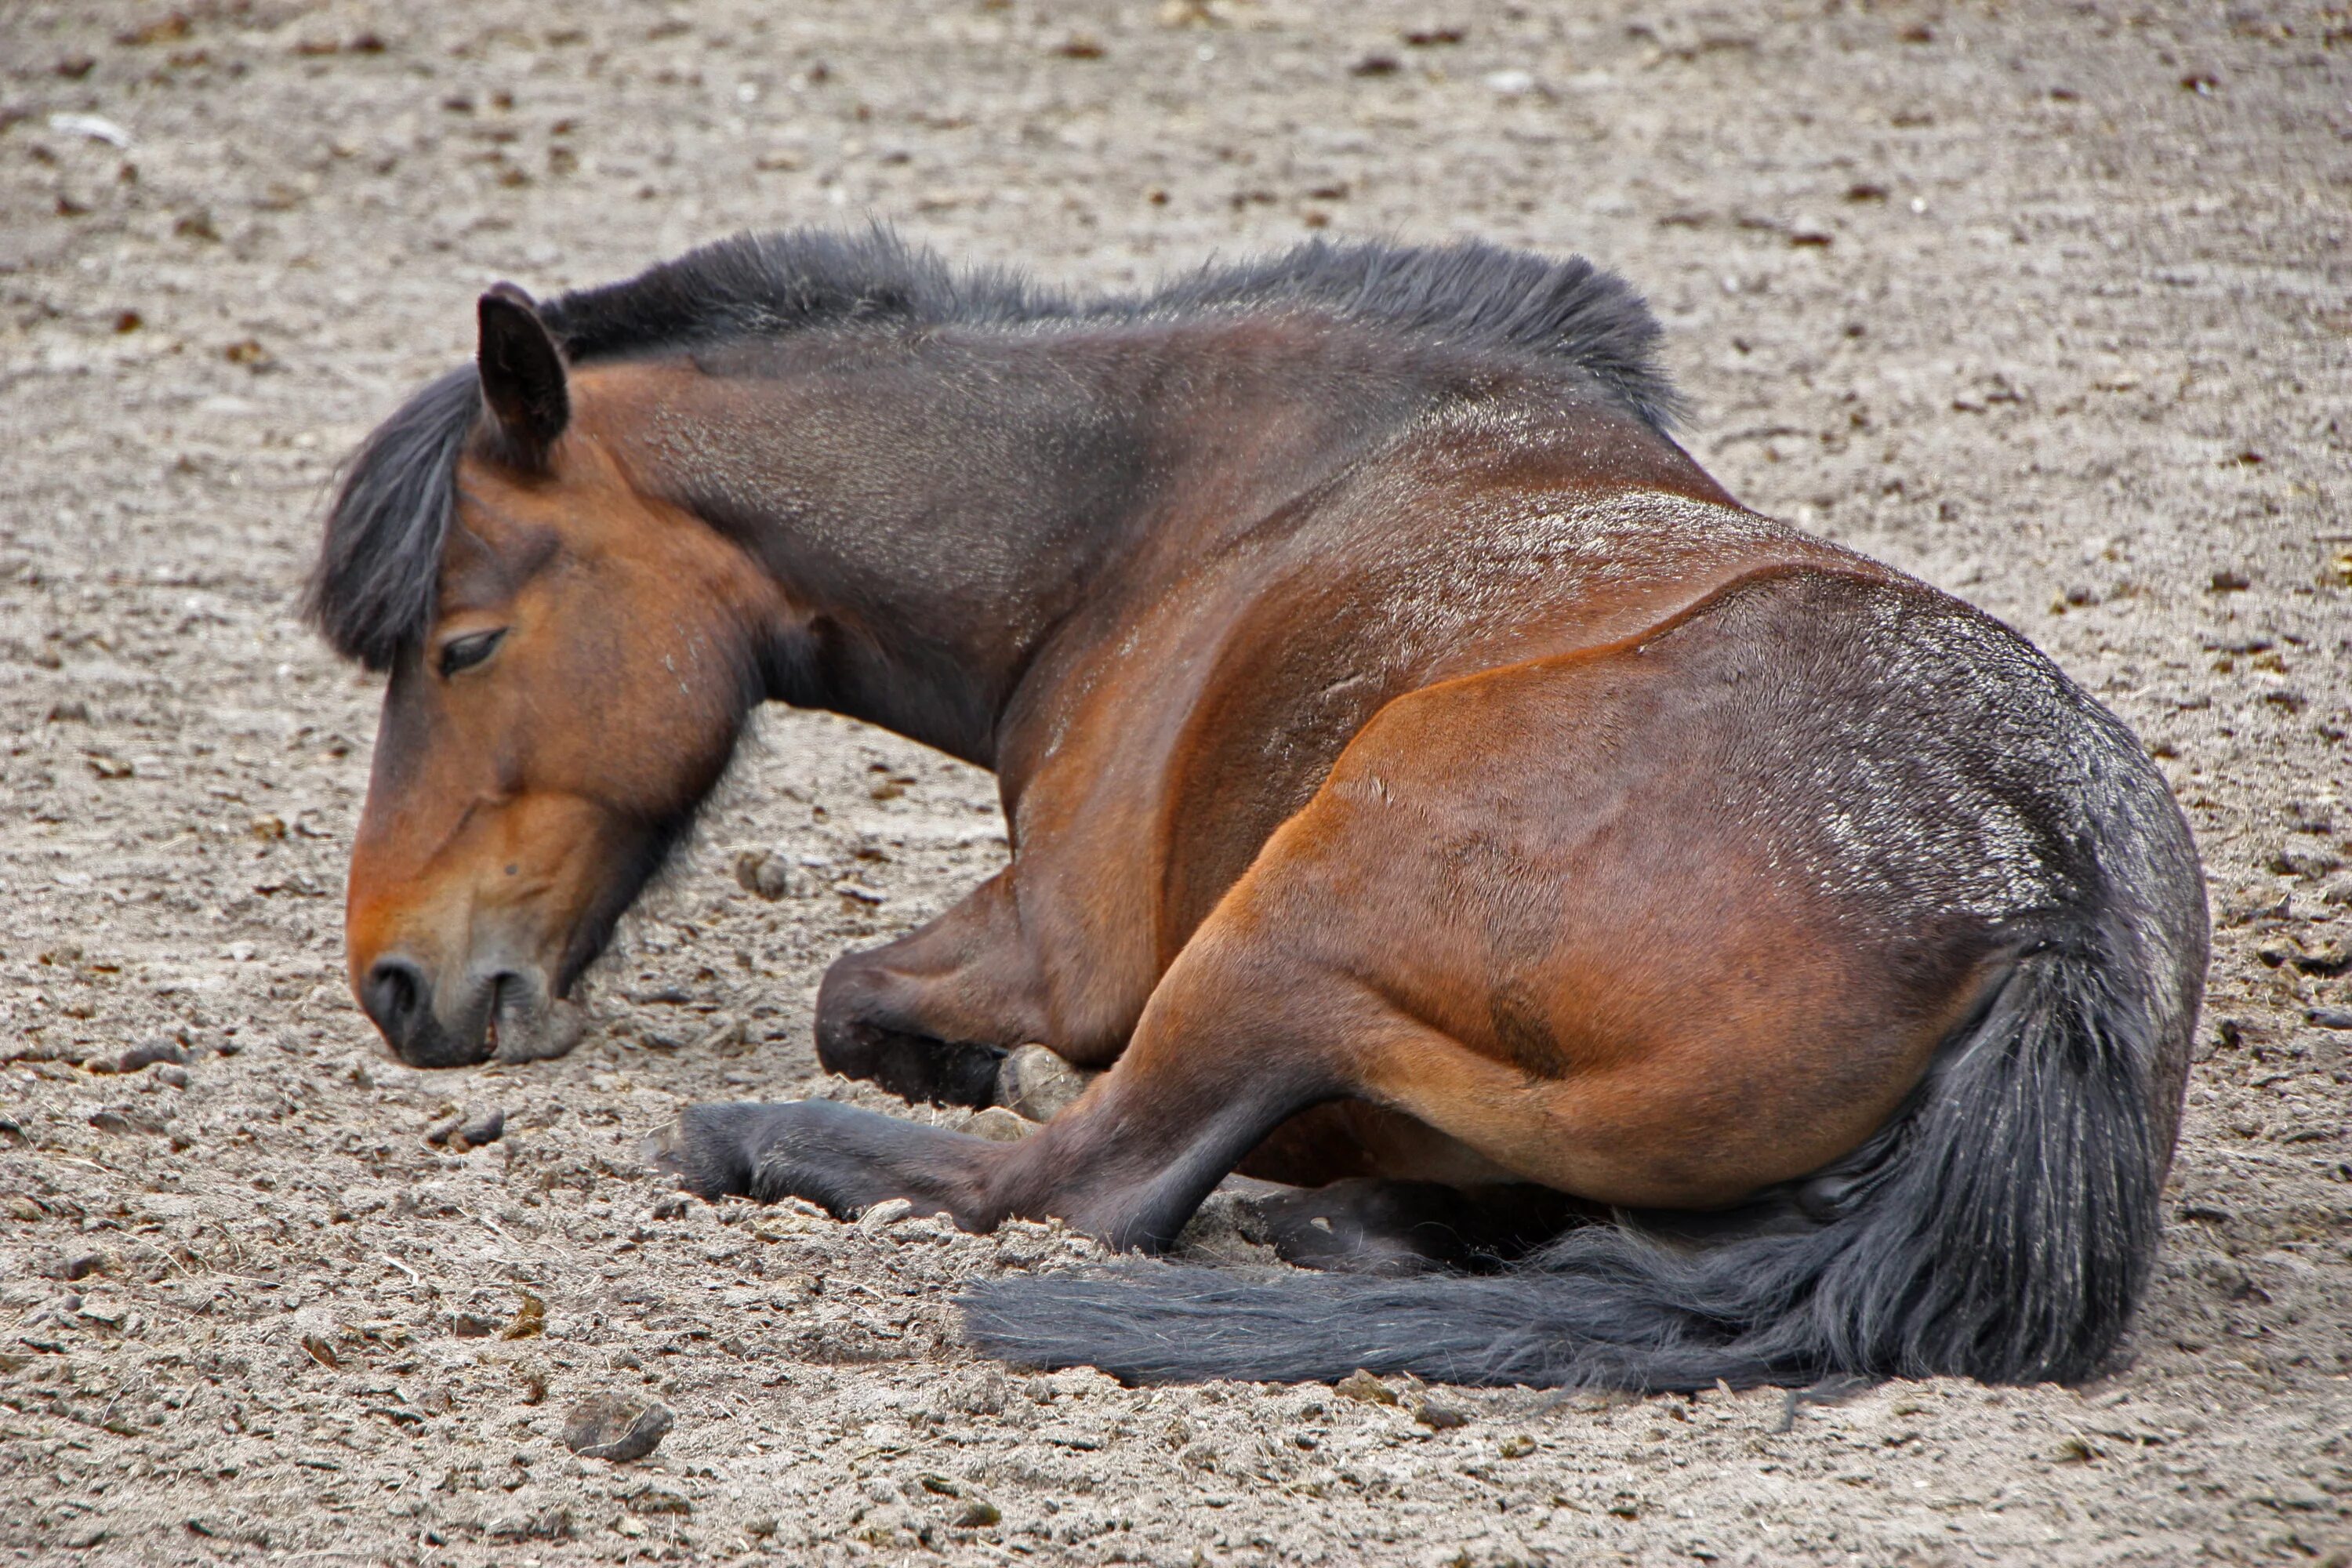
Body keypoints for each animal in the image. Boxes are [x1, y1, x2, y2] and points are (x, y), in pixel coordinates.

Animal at [313, 230, 2201, 1382]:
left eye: (462, 643)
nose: (400, 982)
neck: (1153, 513)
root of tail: (2051, 912)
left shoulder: (1065, 947)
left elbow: (864, 1001)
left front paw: (931, 1070)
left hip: (1296, 917)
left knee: (1082, 1188)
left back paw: (765, 1142)